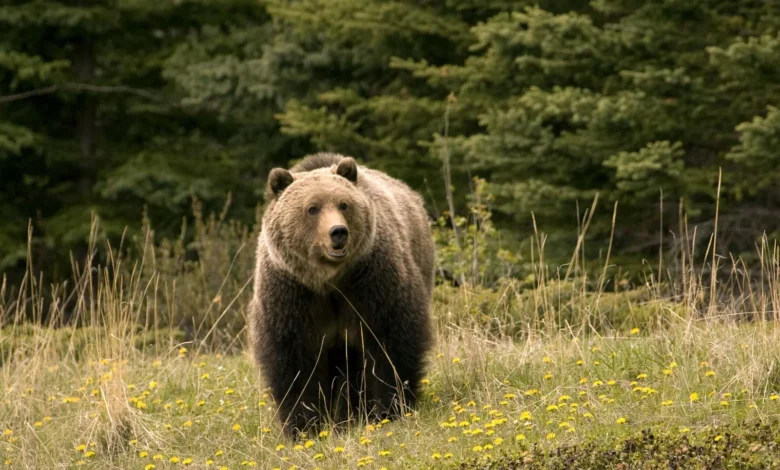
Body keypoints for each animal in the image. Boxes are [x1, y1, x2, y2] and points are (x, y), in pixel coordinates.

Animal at [248, 152, 436, 436]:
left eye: (344, 204)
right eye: (312, 208)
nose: (338, 232)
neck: (329, 281)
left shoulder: (371, 283)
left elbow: (390, 343)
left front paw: (388, 410)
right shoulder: (292, 294)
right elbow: (294, 361)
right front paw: (304, 425)